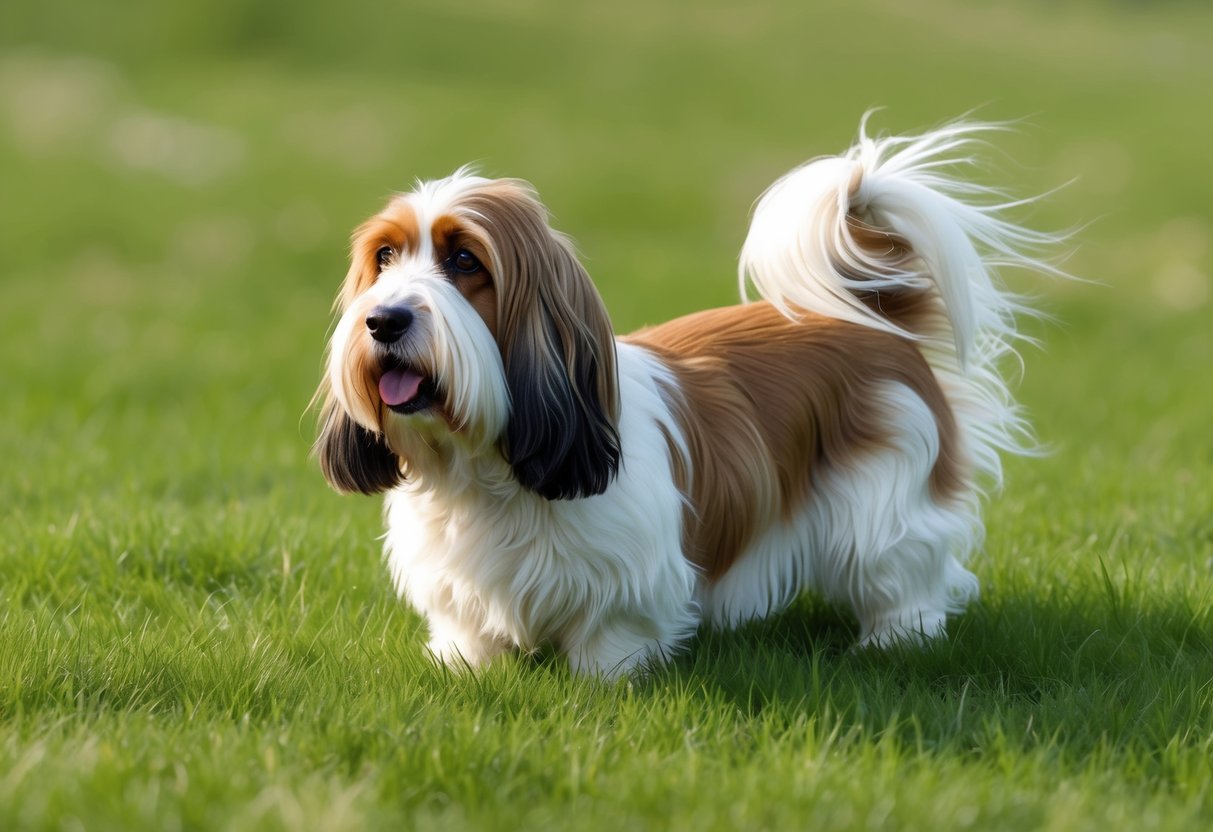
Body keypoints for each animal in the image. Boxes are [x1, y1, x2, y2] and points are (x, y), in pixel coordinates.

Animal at [315, 118, 1062, 679]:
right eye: (384, 259)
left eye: (464, 261)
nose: (382, 321)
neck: (488, 474)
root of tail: (870, 321)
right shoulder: (459, 586)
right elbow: (470, 639)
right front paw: (468, 671)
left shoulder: (628, 583)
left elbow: (610, 643)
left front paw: (603, 683)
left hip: (884, 507)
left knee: (905, 579)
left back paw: (892, 643)